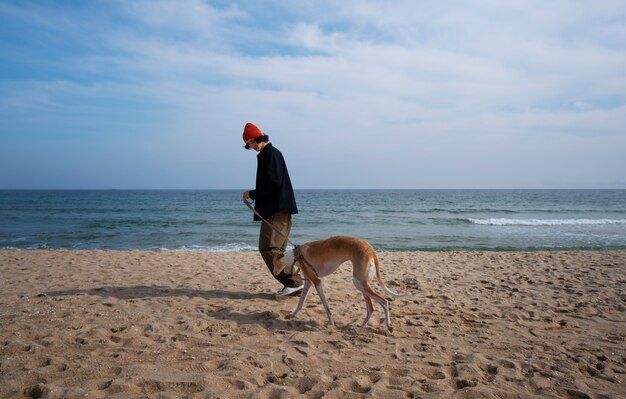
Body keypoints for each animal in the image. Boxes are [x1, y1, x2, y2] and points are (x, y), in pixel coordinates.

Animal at [272, 236, 404, 332]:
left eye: (274, 263)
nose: (273, 272)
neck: (296, 255)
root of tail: (370, 249)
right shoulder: (309, 282)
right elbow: (301, 302)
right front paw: (292, 314)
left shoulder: (317, 282)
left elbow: (326, 306)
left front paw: (331, 322)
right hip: (362, 283)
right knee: (371, 308)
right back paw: (362, 325)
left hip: (359, 282)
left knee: (384, 301)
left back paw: (389, 325)